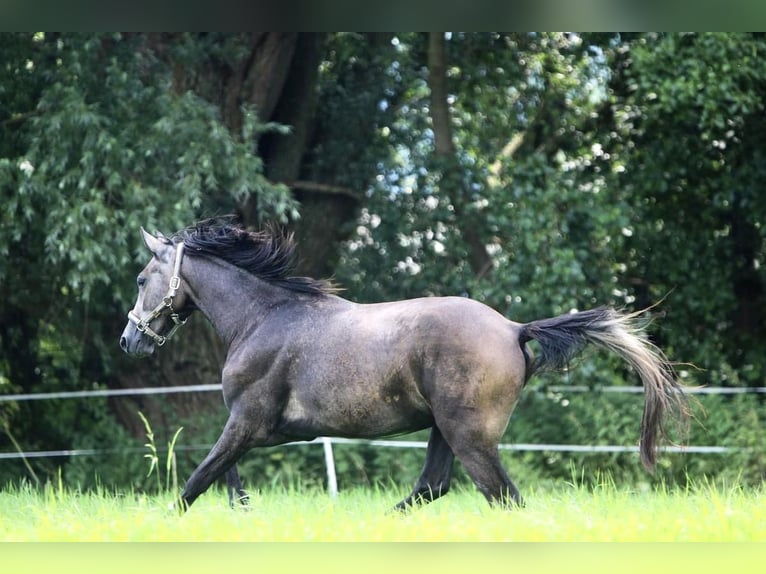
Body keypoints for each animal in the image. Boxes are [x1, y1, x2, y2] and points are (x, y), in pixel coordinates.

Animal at [118, 218, 688, 510]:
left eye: (143, 278)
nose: (129, 341)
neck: (263, 318)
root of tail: (513, 329)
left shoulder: (248, 421)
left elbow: (198, 478)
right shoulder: (269, 430)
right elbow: (226, 477)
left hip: (468, 435)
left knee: (502, 496)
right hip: (444, 429)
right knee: (434, 487)